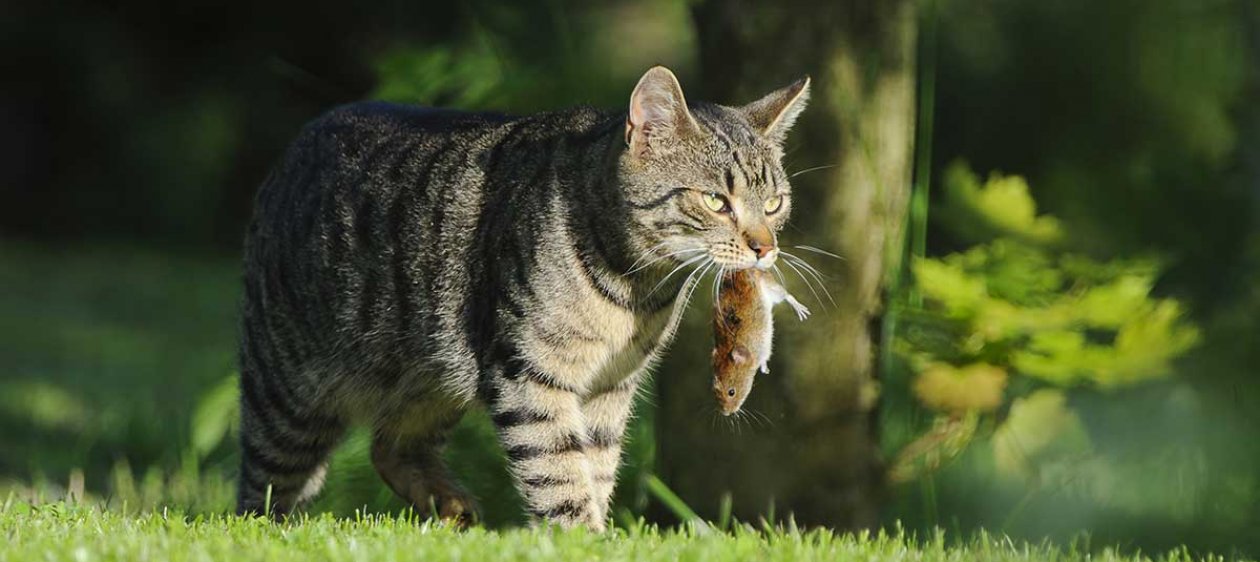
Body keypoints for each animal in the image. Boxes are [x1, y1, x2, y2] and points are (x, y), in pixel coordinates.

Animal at [236, 63, 806, 529]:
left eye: (774, 203)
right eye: (715, 201)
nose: (764, 248)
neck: (635, 291)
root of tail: (298, 143)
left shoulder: (610, 387)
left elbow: (595, 469)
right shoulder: (528, 371)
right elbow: (557, 470)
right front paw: (580, 538)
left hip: (429, 378)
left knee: (388, 445)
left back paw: (451, 505)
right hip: (288, 398)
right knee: (260, 492)